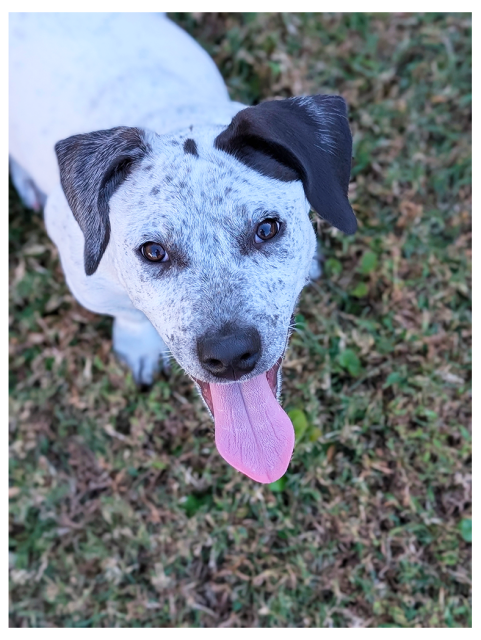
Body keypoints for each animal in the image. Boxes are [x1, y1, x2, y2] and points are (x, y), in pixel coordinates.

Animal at [8, 13, 356, 484]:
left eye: (267, 229)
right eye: (153, 252)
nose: (230, 355)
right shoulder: (88, 284)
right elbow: (128, 315)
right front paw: (137, 344)